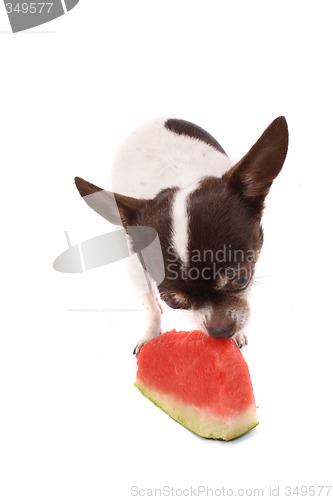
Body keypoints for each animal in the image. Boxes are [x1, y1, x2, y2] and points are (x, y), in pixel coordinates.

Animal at [74, 116, 286, 356]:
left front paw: (238, 333)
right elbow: (148, 303)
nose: (221, 330)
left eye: (241, 279)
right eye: (175, 303)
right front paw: (151, 332)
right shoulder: (135, 266)